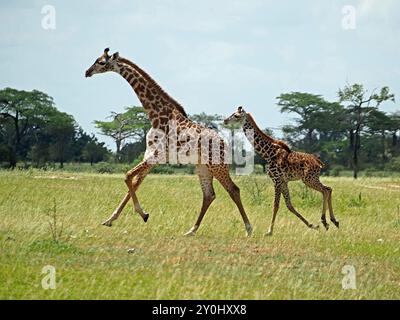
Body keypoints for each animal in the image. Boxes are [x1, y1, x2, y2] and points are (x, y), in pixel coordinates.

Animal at [85, 48, 253, 236]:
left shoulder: (158, 155)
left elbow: (127, 176)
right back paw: (191, 230)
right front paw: (110, 220)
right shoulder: (150, 156)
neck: (156, 115)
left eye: (101, 62)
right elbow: (134, 183)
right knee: (209, 195)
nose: (87, 72)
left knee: (233, 190)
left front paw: (143, 214)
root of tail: (226, 145)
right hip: (203, 167)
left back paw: (248, 229)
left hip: (217, 165)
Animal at [223, 106, 340, 234]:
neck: (267, 153)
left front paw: (269, 231)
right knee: (328, 189)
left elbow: (276, 205)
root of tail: (318, 162)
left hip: (309, 179)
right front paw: (312, 225)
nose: (225, 121)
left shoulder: (277, 179)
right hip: (311, 178)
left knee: (325, 190)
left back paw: (326, 221)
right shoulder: (283, 181)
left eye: (236, 116)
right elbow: (289, 205)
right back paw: (333, 221)